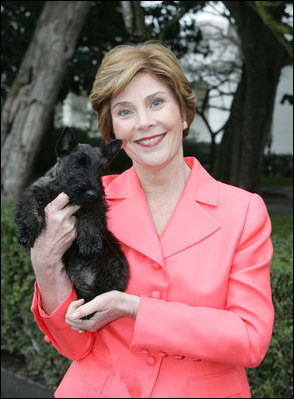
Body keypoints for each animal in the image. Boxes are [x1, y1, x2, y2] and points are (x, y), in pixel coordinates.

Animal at [15, 126, 130, 310]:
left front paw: (89, 241)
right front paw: (27, 233)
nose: (92, 193)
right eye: (77, 165)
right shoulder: (35, 192)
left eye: (100, 171)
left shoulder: (96, 204)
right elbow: (30, 209)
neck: (64, 191)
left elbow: (89, 217)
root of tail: (87, 282)